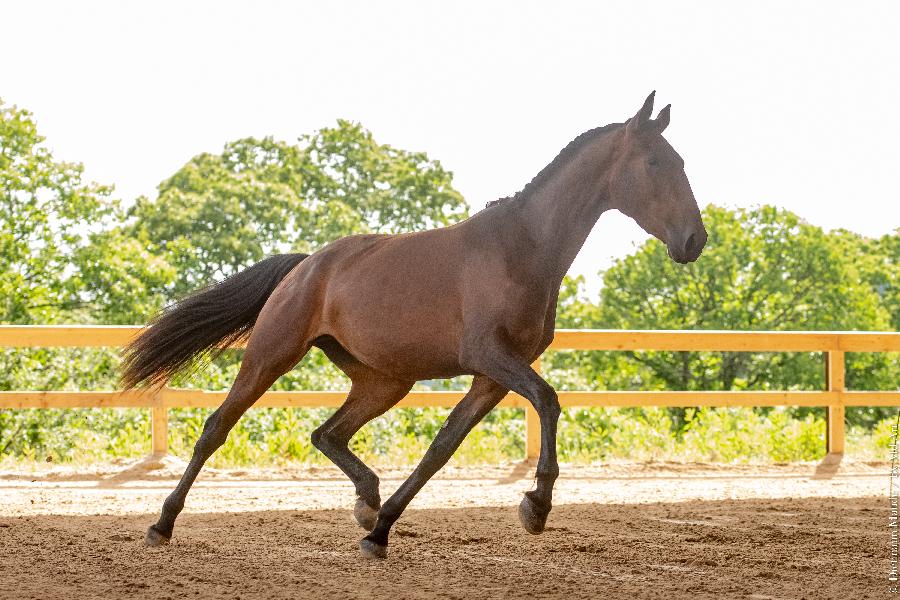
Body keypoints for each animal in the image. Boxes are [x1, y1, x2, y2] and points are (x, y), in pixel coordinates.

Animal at [123, 91, 708, 560]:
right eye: (656, 161)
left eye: (681, 160)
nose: (694, 241)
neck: (522, 249)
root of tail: (307, 265)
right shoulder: (492, 358)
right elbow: (547, 401)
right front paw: (536, 506)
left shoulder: (491, 377)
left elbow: (440, 449)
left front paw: (379, 532)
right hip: (271, 355)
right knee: (216, 429)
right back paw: (162, 524)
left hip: (385, 381)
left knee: (326, 433)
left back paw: (367, 501)